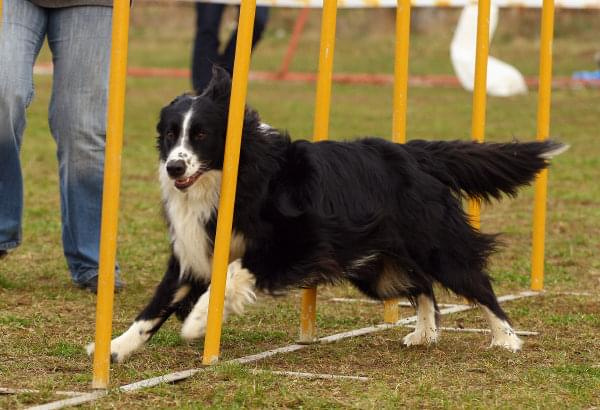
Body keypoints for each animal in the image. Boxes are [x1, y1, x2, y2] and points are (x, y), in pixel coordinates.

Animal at [86, 68, 564, 366]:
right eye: (170, 135)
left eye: (201, 135)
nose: (174, 167)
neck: (232, 175)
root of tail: (415, 154)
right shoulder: (191, 254)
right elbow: (154, 307)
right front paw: (113, 350)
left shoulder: (298, 242)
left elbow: (236, 272)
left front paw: (197, 323)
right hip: (376, 268)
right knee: (422, 286)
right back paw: (424, 334)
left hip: (433, 243)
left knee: (474, 282)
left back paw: (506, 339)